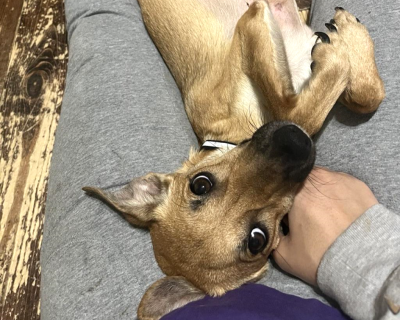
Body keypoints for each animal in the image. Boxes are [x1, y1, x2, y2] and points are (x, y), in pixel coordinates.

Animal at [82, 1, 384, 318]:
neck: (237, 132)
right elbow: (296, 109)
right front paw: (336, 53)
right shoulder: (251, 32)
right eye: (257, 239)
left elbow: (363, 98)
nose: (293, 143)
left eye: (200, 184)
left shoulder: (250, 32)